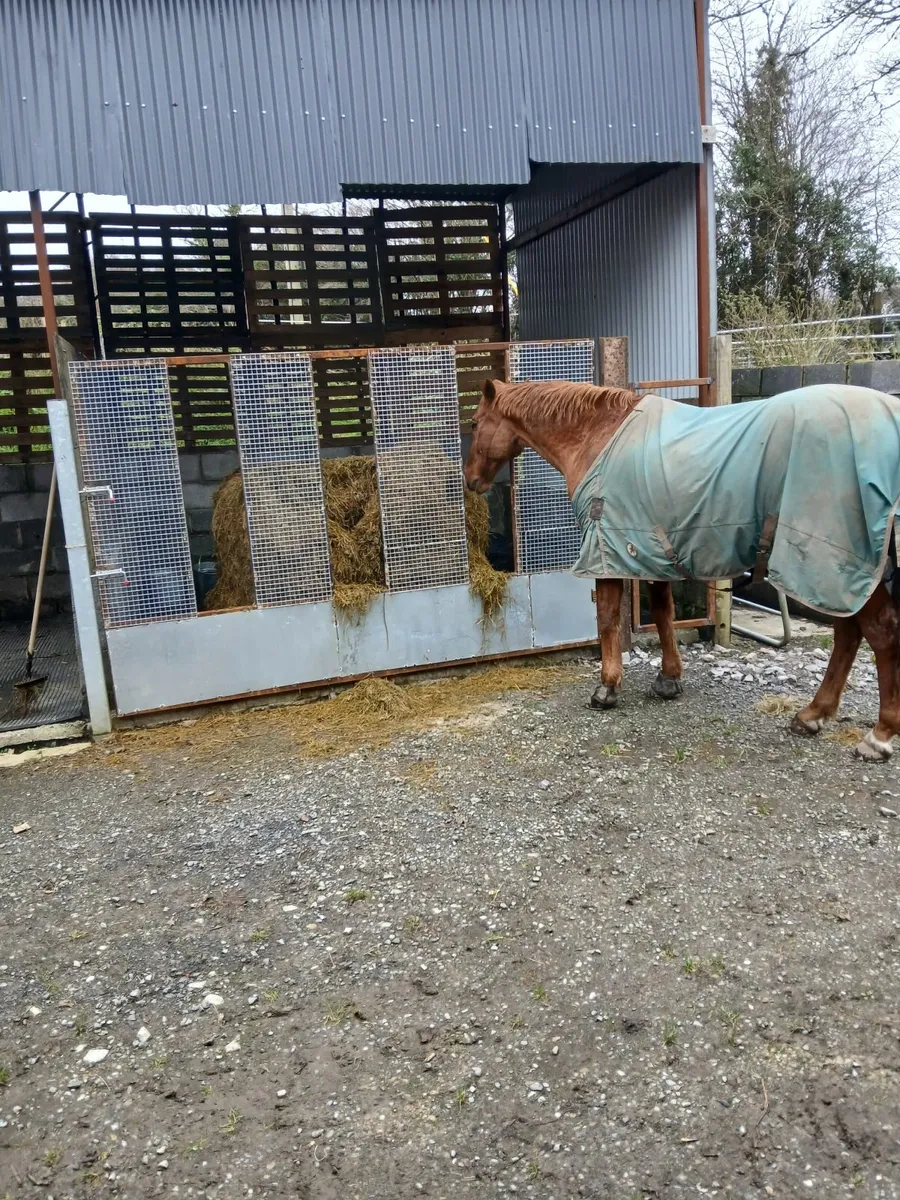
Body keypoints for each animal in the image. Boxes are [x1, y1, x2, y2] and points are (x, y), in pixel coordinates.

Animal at [463, 377, 900, 762]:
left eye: (474, 423)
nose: (470, 481)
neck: (598, 436)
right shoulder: (652, 552)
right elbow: (663, 615)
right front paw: (668, 680)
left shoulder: (607, 551)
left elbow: (607, 619)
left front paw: (607, 688)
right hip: (834, 574)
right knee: (848, 633)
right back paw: (812, 715)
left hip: (834, 563)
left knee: (879, 632)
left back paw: (877, 737)